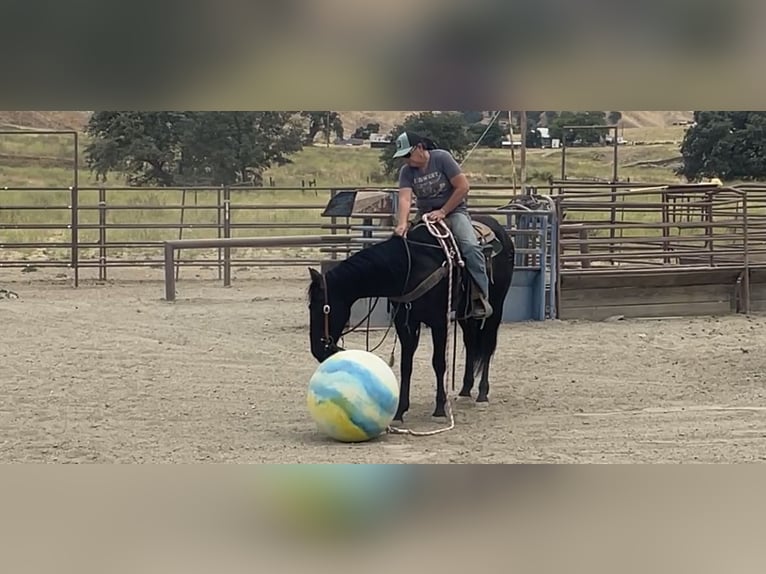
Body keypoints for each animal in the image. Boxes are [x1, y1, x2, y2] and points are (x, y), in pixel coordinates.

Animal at [307, 213, 515, 422]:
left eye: (323, 308)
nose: (317, 350)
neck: (413, 266)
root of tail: (500, 230)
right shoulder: (405, 322)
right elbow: (406, 364)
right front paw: (400, 411)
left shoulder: (439, 322)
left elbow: (439, 363)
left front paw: (439, 408)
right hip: (465, 314)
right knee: (471, 342)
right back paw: (465, 390)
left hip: (496, 307)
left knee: (487, 345)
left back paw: (482, 394)